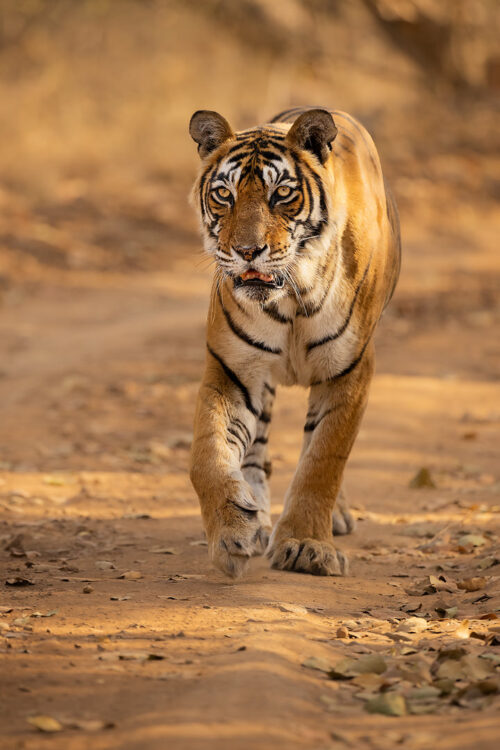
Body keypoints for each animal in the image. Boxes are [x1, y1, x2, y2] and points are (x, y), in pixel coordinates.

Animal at [188, 106, 402, 580]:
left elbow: (324, 459)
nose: (248, 251)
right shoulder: (232, 369)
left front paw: (307, 546)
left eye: (282, 193)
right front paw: (232, 532)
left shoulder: (350, 370)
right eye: (224, 194)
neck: (291, 294)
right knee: (255, 451)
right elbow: (208, 455)